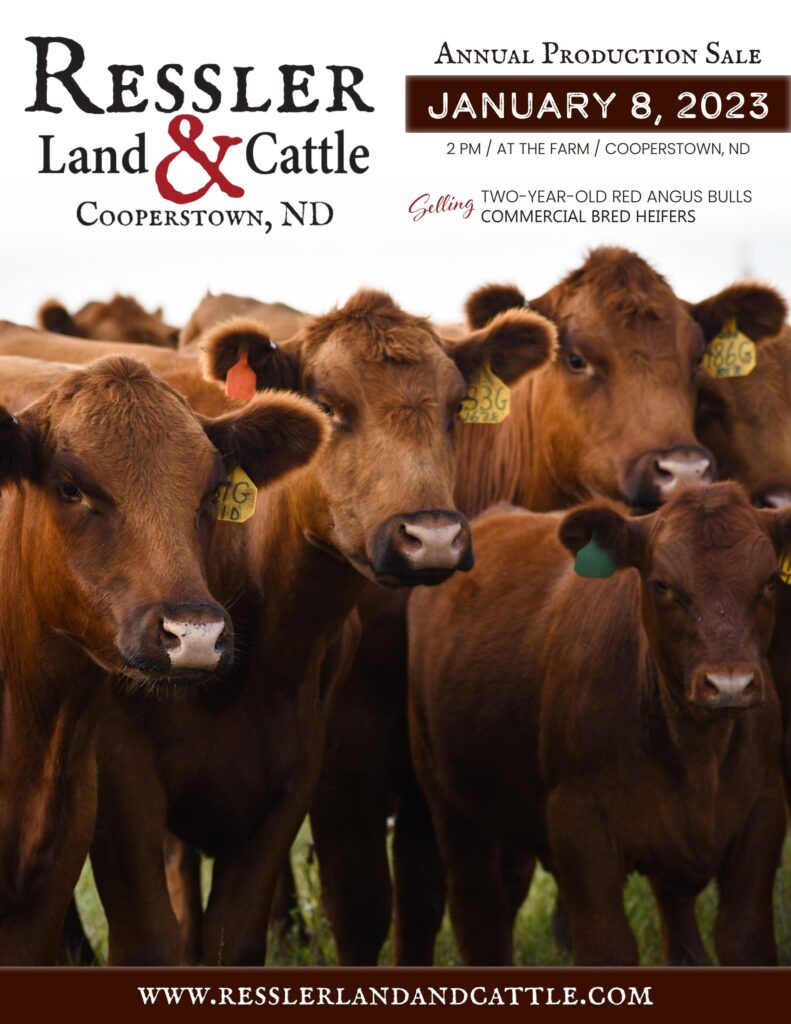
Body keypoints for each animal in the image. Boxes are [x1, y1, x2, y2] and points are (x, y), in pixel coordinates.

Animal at [408, 483, 788, 965]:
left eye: (770, 581)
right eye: (662, 585)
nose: (730, 684)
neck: (697, 753)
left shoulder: (764, 810)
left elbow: (743, 938)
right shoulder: (578, 823)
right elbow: (608, 947)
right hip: (448, 799)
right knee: (478, 910)